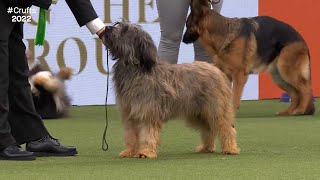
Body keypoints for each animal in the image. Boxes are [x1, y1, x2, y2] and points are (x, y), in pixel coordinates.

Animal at [104, 21, 239, 159]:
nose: (107, 28)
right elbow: (130, 135)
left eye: (125, 30)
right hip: (198, 113)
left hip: (216, 109)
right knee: (208, 129)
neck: (135, 69)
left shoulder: (148, 112)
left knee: (226, 128)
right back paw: (206, 147)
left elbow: (147, 134)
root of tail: (216, 69)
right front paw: (129, 151)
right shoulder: (129, 113)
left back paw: (231, 148)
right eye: (117, 24)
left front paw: (145, 152)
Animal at [182, 0, 316, 115]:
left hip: (287, 72)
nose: (183, 40)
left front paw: (231, 111)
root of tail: (301, 39)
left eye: (187, 25)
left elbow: (235, 96)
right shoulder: (226, 74)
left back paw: (301, 110)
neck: (222, 33)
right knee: (295, 94)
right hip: (279, 77)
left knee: (306, 89)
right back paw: (288, 112)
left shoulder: (239, 75)